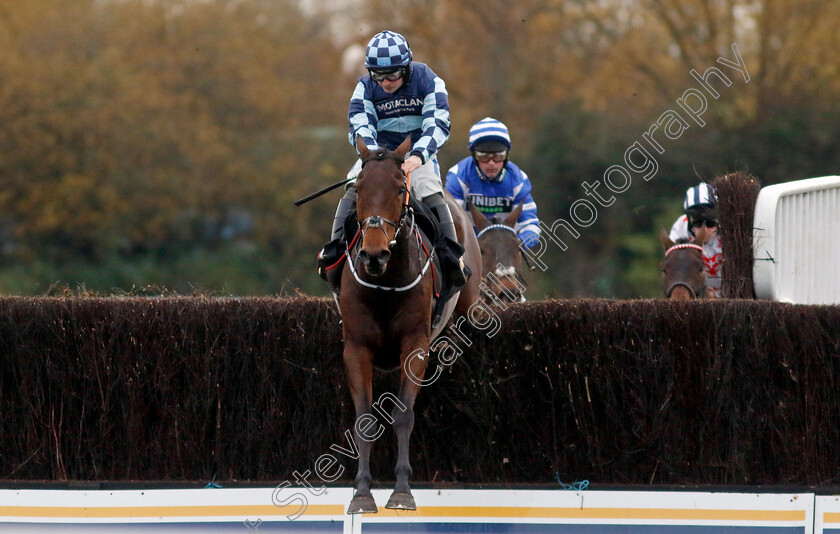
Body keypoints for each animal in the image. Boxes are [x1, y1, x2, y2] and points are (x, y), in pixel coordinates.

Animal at [336, 136, 480, 512]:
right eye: (358, 188)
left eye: (401, 187)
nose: (374, 255)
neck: (386, 281)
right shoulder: (356, 348)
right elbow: (364, 418)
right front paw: (362, 492)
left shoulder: (415, 345)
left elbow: (403, 414)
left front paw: (401, 490)